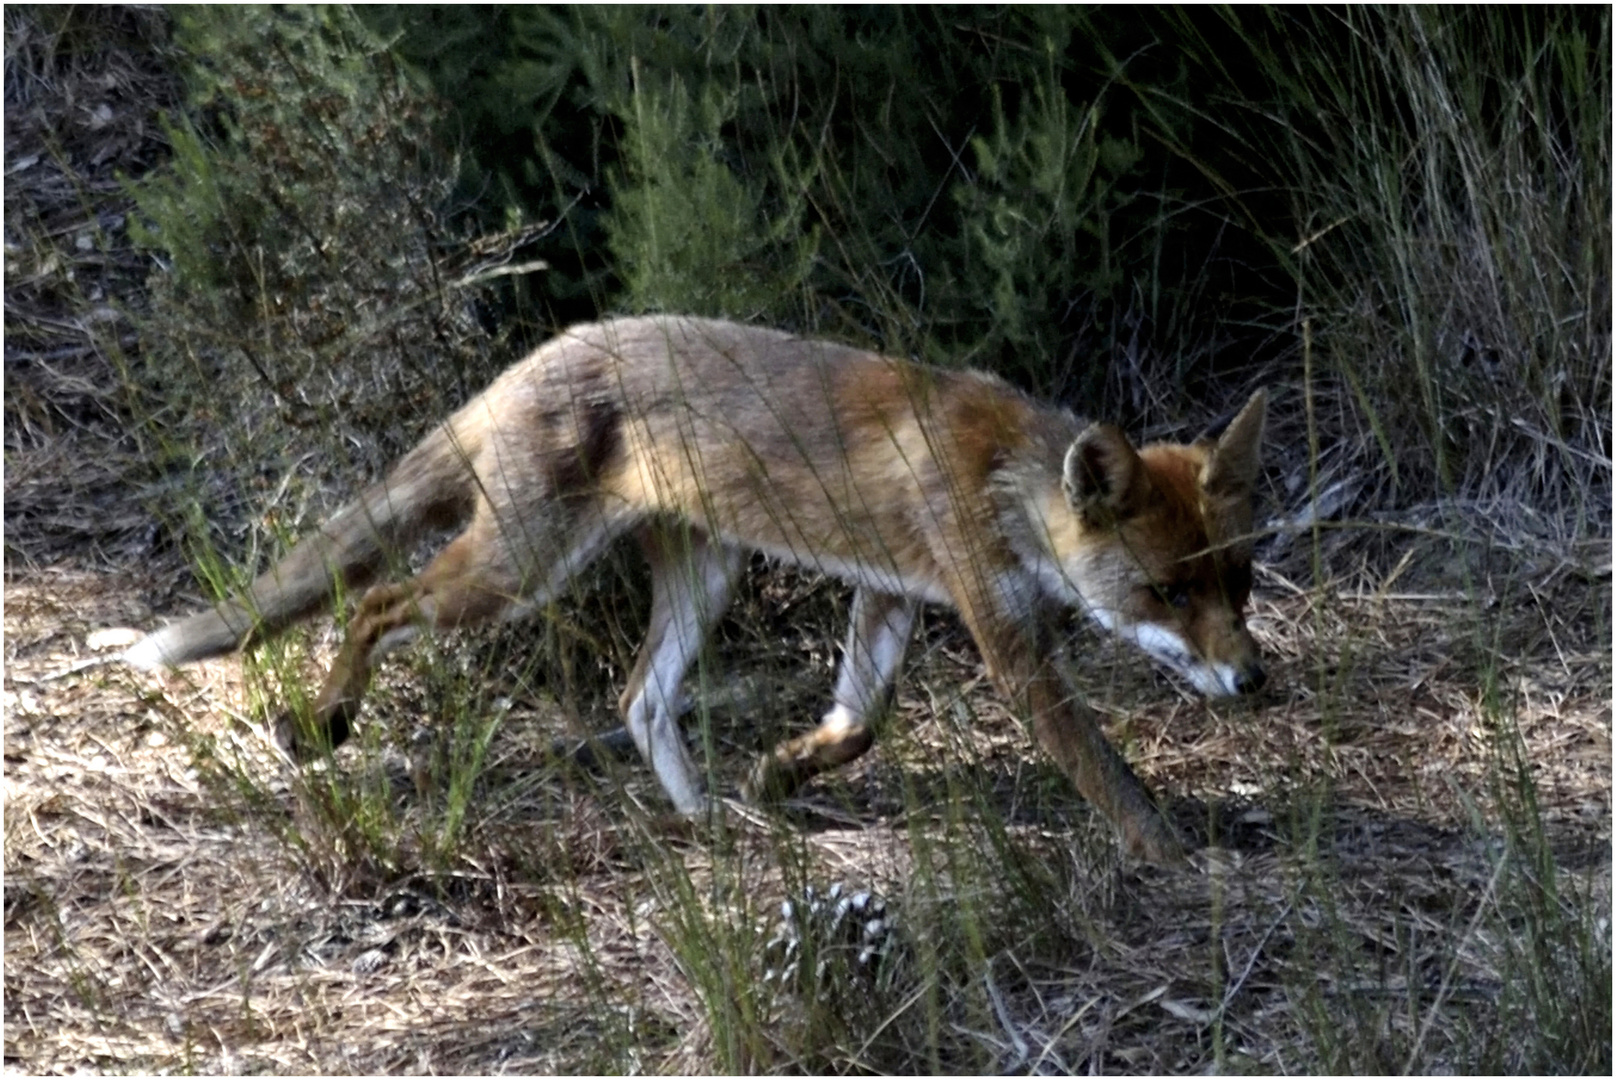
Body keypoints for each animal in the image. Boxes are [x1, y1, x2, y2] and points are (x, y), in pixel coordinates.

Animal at [122, 312, 1260, 860]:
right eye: (1165, 594)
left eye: (1238, 580)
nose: (1255, 680)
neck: (1001, 480)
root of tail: (539, 353)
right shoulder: (1002, 637)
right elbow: (1102, 771)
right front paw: (1170, 853)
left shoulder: (893, 592)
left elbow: (860, 719)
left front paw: (781, 772)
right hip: (517, 571)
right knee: (375, 604)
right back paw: (323, 721)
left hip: (701, 573)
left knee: (639, 698)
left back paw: (711, 816)